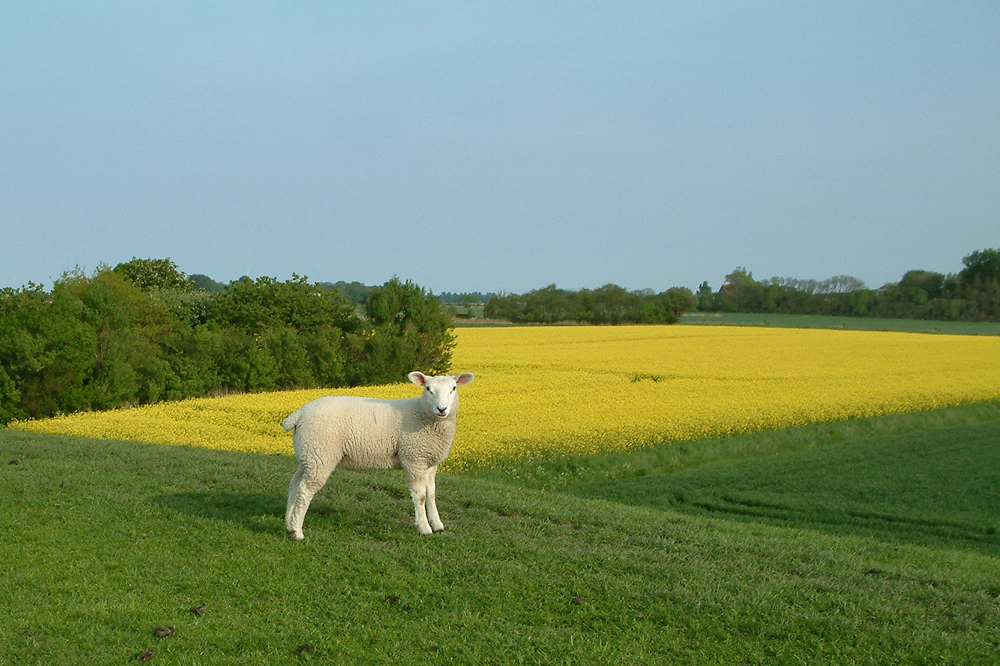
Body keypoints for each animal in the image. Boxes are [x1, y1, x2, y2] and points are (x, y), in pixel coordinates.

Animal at [280, 370, 474, 536]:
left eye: (453, 388)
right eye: (428, 389)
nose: (442, 409)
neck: (423, 415)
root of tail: (299, 414)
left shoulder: (429, 463)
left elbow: (432, 494)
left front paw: (437, 524)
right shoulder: (413, 458)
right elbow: (420, 496)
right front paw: (424, 528)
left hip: (308, 454)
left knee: (294, 484)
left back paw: (289, 523)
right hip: (321, 453)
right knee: (305, 490)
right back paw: (297, 531)